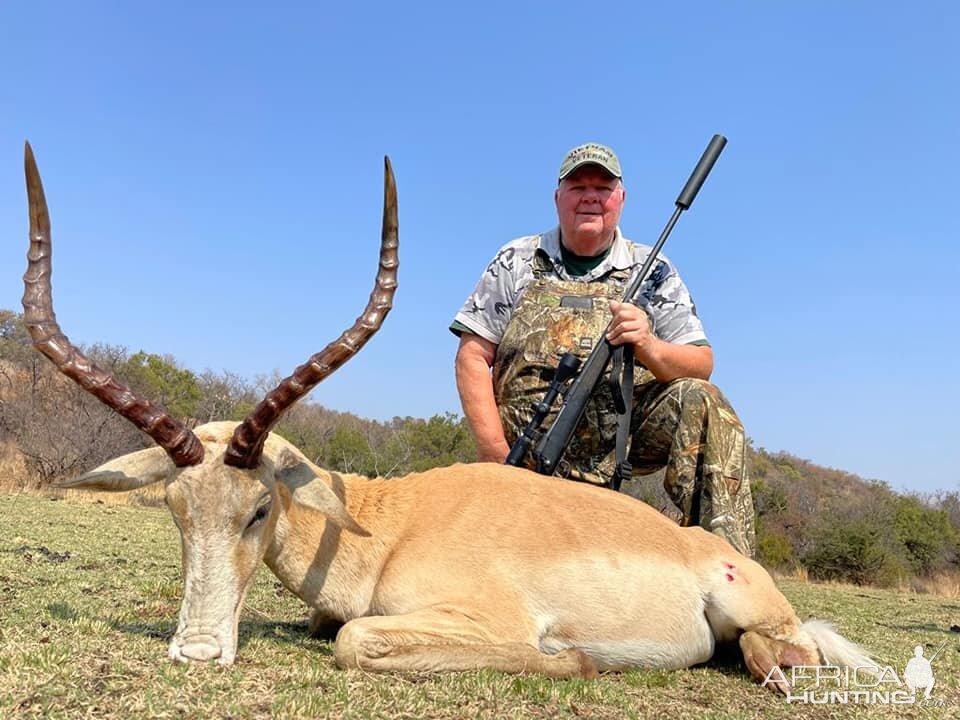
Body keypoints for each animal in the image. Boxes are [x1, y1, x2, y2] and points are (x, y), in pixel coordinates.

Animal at [18, 142, 872, 692]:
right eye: (174, 507)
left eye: (260, 507)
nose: (196, 654)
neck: (391, 526)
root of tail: (705, 550)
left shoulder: (478, 620)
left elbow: (354, 639)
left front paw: (575, 659)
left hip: (756, 610)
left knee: (790, 653)